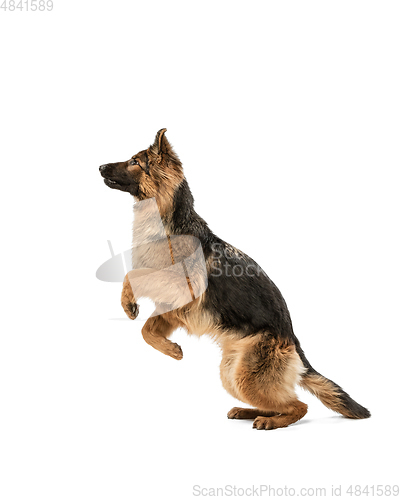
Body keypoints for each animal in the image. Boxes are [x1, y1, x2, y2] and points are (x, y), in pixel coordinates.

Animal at [99, 129, 368, 430]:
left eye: (135, 161)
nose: (100, 167)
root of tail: (293, 340)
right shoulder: (173, 309)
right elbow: (146, 329)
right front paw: (171, 349)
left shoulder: (181, 290)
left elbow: (133, 276)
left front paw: (130, 305)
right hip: (231, 373)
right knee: (279, 402)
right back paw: (248, 412)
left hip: (246, 377)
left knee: (299, 406)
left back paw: (269, 422)